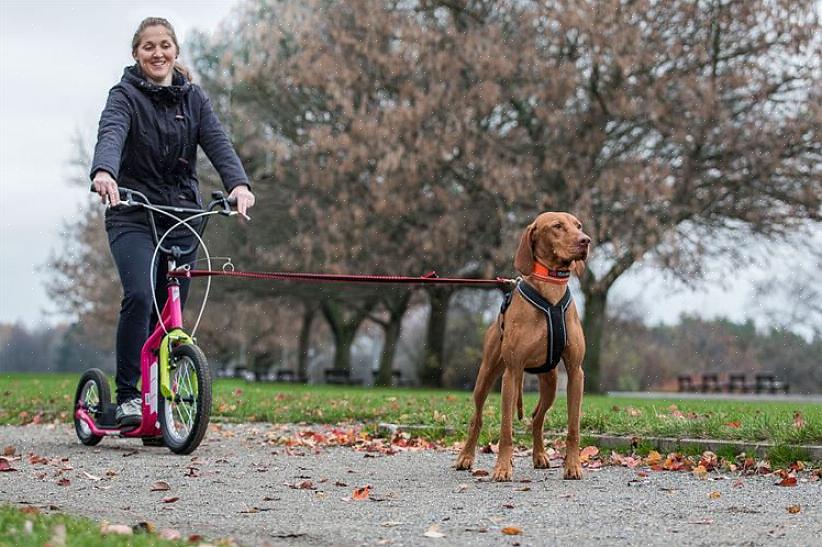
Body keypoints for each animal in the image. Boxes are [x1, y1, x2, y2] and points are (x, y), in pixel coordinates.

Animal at [458, 212, 592, 482]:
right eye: (557, 226)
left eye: (579, 225)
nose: (586, 240)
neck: (551, 288)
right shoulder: (512, 371)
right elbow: (505, 429)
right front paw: (502, 468)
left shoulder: (575, 372)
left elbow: (573, 427)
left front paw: (573, 466)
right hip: (488, 375)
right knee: (477, 417)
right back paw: (466, 457)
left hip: (550, 382)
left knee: (537, 418)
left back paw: (539, 456)